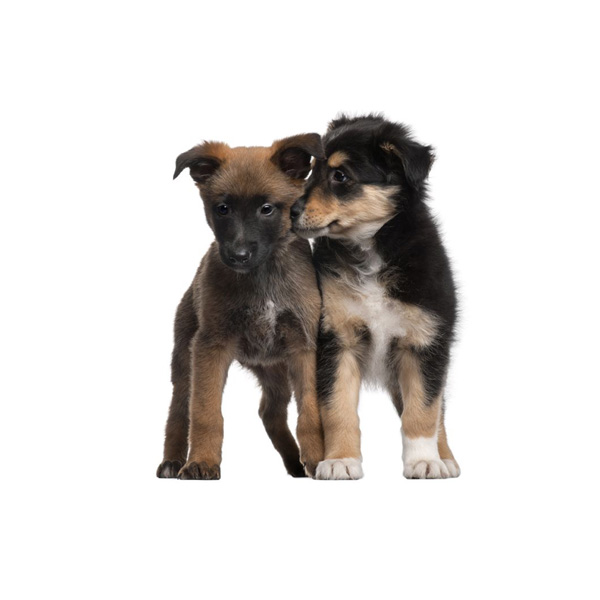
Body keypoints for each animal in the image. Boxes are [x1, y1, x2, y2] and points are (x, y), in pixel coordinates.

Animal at [157, 134, 324, 479]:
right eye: (222, 209)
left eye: (267, 209)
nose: (238, 256)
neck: (261, 277)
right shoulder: (211, 347)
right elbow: (205, 412)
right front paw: (202, 461)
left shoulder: (304, 346)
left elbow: (310, 412)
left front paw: (318, 460)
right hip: (184, 361)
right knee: (180, 409)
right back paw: (172, 462)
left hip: (275, 368)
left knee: (269, 411)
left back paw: (295, 462)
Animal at [290, 114, 460, 479]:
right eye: (311, 170)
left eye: (340, 176)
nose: (290, 212)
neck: (370, 250)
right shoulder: (337, 340)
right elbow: (337, 409)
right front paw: (340, 460)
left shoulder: (423, 343)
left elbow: (423, 411)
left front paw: (424, 461)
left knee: (438, 410)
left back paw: (445, 457)